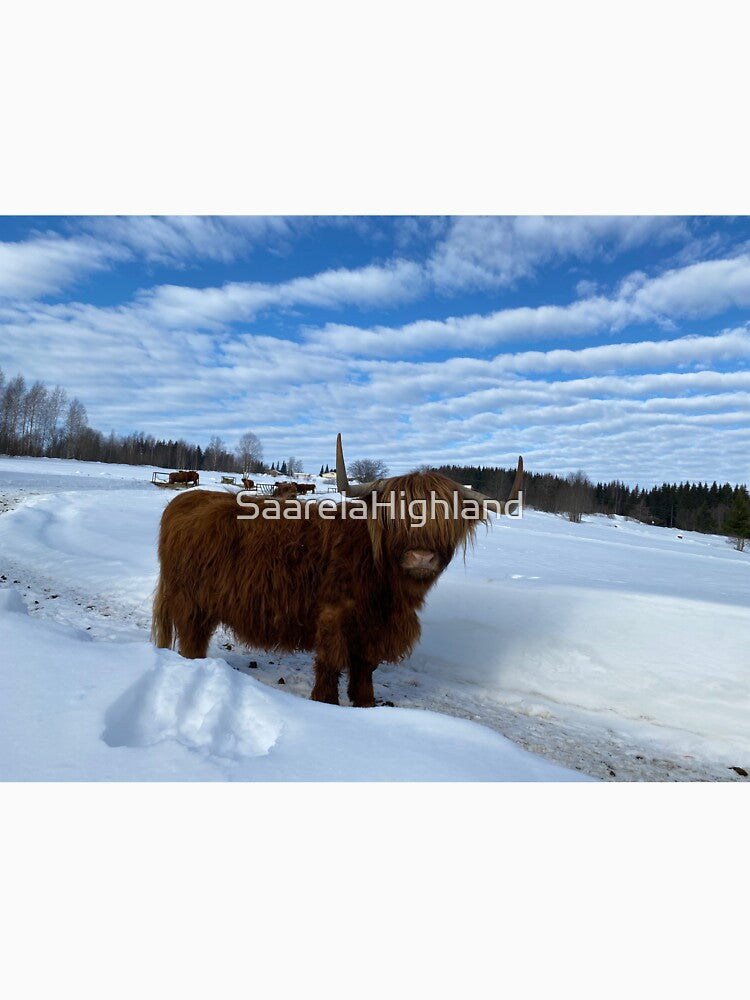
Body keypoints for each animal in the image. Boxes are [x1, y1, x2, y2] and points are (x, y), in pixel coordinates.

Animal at [152, 434, 523, 707]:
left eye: (448, 519)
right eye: (395, 516)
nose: (421, 557)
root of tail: (184, 501)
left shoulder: (373, 629)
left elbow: (364, 669)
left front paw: (365, 704)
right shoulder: (334, 616)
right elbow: (331, 664)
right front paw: (326, 703)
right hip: (191, 604)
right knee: (191, 643)